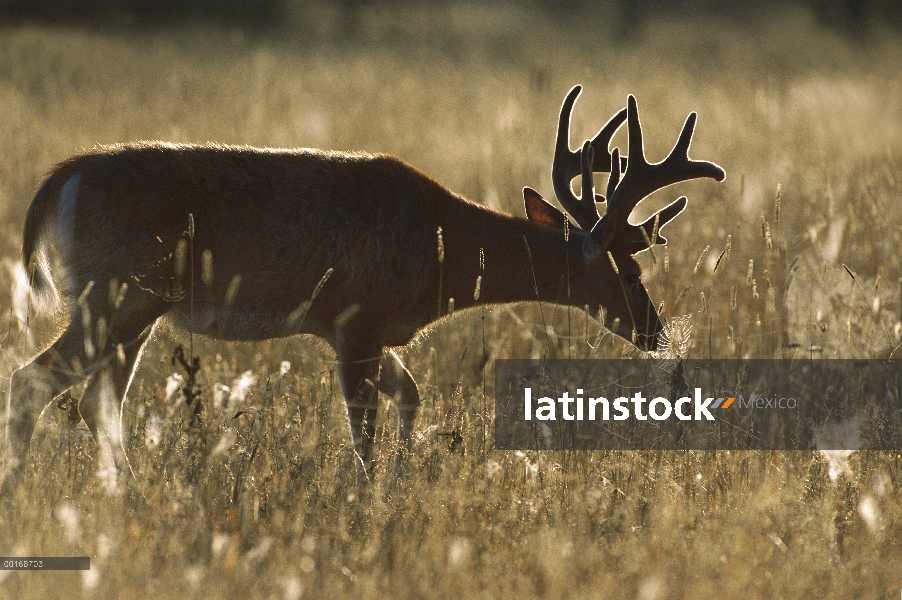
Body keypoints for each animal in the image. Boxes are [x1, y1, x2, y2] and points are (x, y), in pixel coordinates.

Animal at [0, 88, 720, 492]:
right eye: (630, 273)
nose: (657, 334)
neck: (440, 250)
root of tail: (60, 181)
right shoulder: (354, 318)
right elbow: (363, 430)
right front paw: (365, 499)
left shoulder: (370, 328)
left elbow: (413, 394)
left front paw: (399, 485)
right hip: (117, 296)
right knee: (35, 380)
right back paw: (25, 490)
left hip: (132, 309)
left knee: (98, 401)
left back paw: (121, 493)